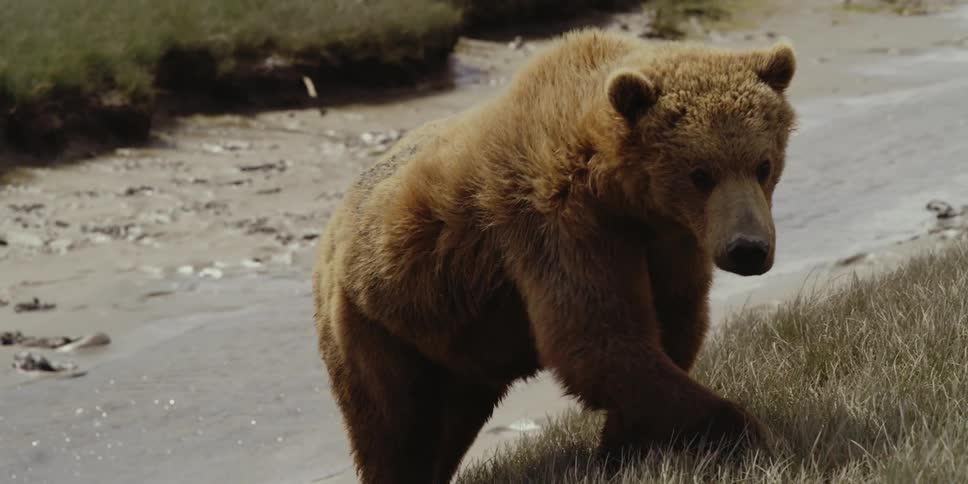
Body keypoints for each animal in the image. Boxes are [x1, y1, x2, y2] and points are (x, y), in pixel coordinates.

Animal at [313, 28, 796, 484]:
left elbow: (671, 326)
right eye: (700, 174)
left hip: (455, 340)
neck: (626, 196)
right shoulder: (560, 222)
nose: (748, 249)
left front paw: (624, 444)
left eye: (763, 164)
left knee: (449, 420)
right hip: (377, 322)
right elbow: (595, 338)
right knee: (394, 425)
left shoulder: (672, 241)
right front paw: (747, 429)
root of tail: (332, 228)